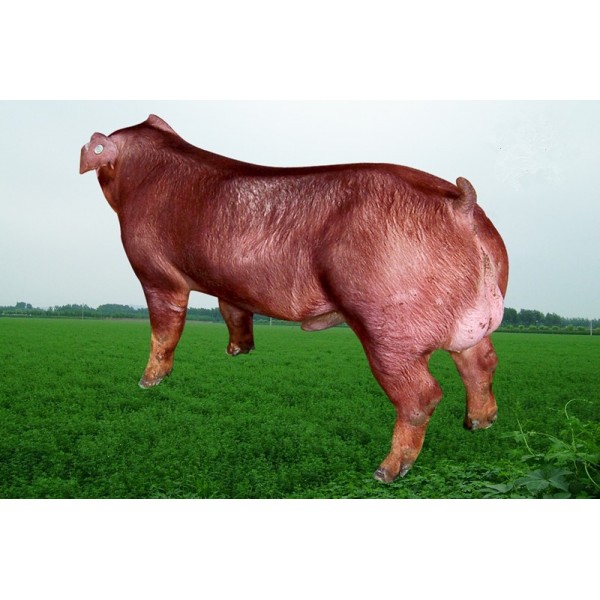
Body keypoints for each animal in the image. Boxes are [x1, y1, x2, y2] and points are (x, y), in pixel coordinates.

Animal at [80, 114, 508, 483]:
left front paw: (146, 383)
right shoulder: (232, 284)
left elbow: (164, 329)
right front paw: (238, 353)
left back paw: (385, 472)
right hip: (472, 325)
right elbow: (233, 312)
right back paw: (479, 424)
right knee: (483, 362)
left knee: (423, 395)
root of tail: (461, 206)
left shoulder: (156, 273)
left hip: (389, 328)